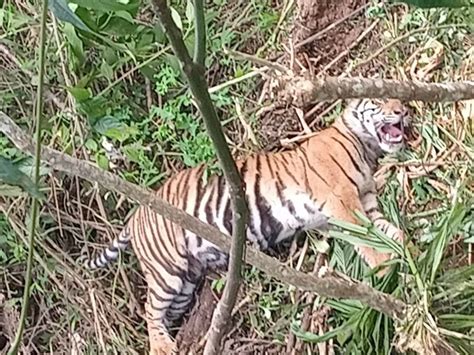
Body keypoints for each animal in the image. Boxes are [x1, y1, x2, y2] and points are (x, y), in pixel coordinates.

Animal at [84, 99, 408, 355]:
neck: (365, 146)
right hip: (167, 272)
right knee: (150, 311)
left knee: (165, 314)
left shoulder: (363, 203)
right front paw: (384, 269)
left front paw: (405, 252)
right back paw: (162, 348)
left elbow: (385, 232)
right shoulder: (342, 202)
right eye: (380, 100)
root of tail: (136, 213)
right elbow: (366, 240)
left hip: (185, 281)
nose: (403, 110)